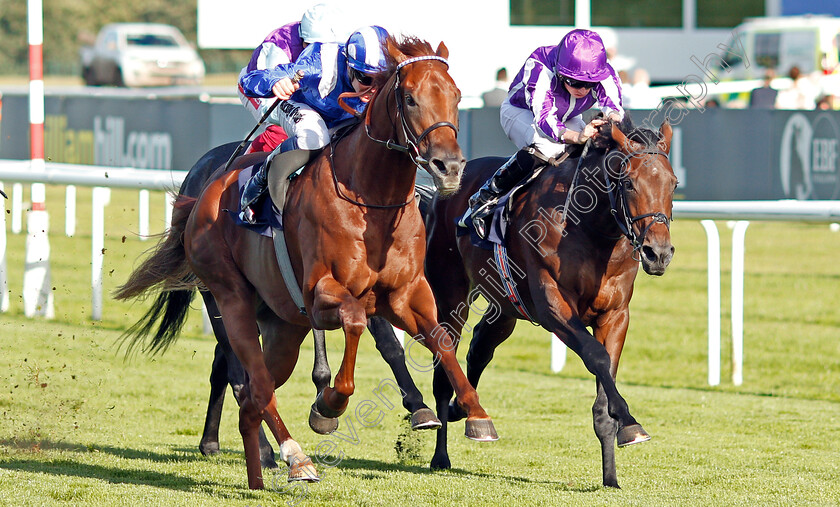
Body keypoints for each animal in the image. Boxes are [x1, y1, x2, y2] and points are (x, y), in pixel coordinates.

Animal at [119, 35, 498, 488]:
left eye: (456, 95)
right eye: (409, 98)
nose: (450, 166)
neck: (372, 201)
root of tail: (203, 192)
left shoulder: (406, 294)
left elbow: (439, 340)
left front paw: (474, 414)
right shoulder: (323, 294)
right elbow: (356, 323)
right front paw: (329, 404)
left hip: (282, 325)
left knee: (254, 391)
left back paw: (256, 471)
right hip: (229, 301)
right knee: (249, 381)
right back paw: (291, 456)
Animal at [424, 116, 680, 488]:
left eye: (673, 183)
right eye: (629, 183)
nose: (658, 253)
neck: (590, 228)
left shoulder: (615, 315)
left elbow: (604, 393)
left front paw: (611, 474)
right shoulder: (553, 305)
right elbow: (596, 356)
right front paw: (631, 422)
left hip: (506, 305)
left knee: (481, 346)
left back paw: (466, 410)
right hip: (450, 295)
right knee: (445, 361)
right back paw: (443, 452)